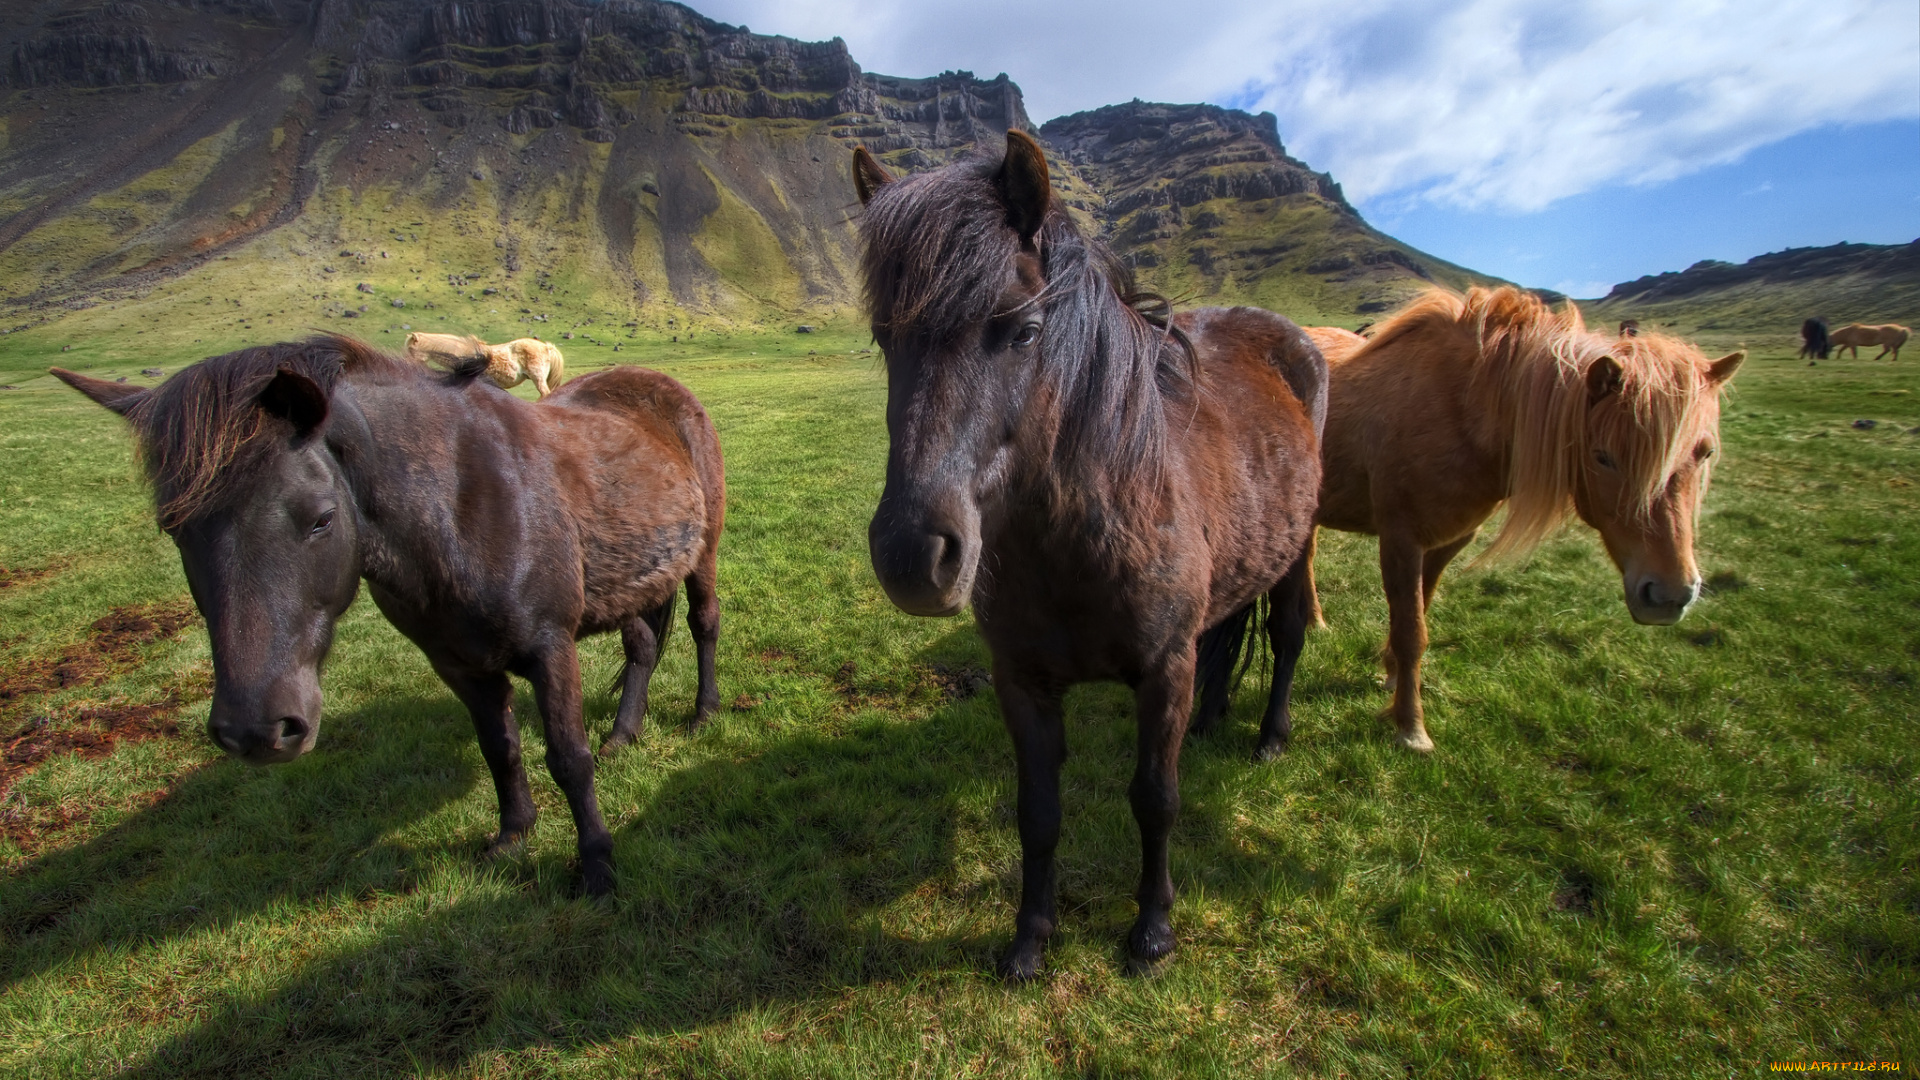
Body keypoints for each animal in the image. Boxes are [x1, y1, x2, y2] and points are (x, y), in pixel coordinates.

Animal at [860, 132, 1328, 976]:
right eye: (885, 339)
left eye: (1022, 328)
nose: (914, 554)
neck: (1078, 541)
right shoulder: (1023, 682)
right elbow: (1038, 812)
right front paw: (1029, 940)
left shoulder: (1163, 671)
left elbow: (1156, 799)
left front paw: (1152, 932)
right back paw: (1212, 721)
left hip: (1298, 545)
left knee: (1286, 632)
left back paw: (1271, 738)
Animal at [1244, 290, 1743, 753]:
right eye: (1603, 456)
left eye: (1705, 452)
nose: (1669, 595)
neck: (1464, 407)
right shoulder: (1401, 539)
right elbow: (1411, 632)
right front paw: (1411, 727)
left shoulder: (1448, 541)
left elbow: (1419, 613)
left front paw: (1392, 676)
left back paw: (1316, 621)